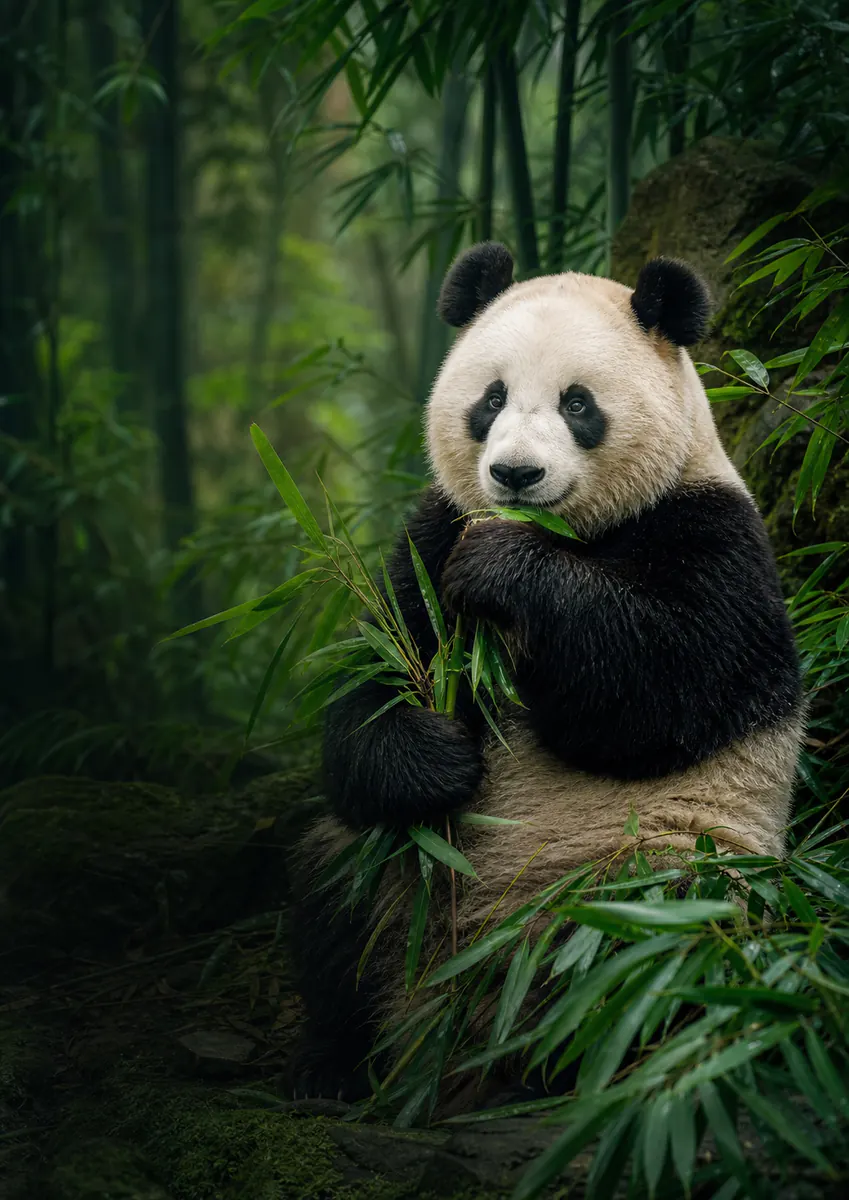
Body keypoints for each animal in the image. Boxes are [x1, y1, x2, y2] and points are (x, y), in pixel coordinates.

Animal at [289, 243, 804, 1101]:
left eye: (577, 404)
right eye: (491, 398)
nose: (515, 476)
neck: (569, 533)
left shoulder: (713, 536)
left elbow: (659, 689)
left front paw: (507, 570)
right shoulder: (432, 537)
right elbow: (372, 679)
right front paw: (437, 757)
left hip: (650, 872)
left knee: (656, 959)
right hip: (395, 883)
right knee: (339, 899)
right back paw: (343, 1068)